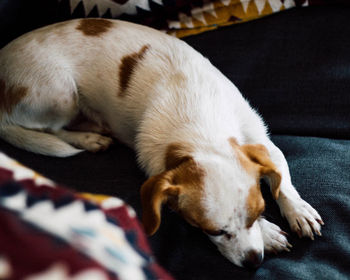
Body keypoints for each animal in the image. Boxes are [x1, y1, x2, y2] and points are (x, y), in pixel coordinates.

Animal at [0, 18, 322, 268]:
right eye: (213, 231)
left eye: (257, 213)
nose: (254, 261)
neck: (199, 123)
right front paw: (269, 233)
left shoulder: (263, 144)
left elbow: (283, 183)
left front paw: (298, 211)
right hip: (60, 93)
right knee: (49, 128)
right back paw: (88, 137)